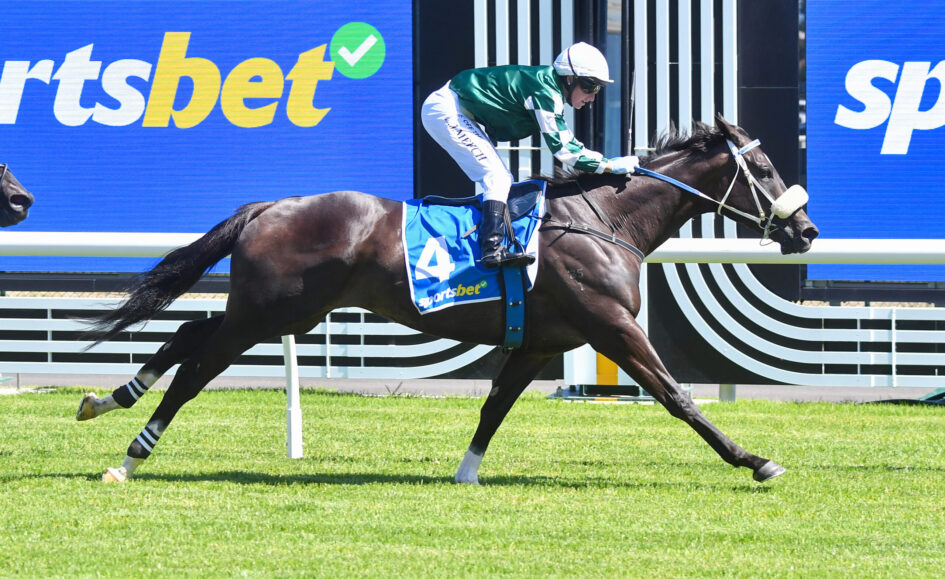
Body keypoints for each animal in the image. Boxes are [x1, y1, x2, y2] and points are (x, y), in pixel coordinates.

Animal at [76, 115, 818, 484]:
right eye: (762, 167)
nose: (806, 230)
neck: (603, 221)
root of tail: (268, 206)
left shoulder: (541, 342)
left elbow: (494, 408)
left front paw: (465, 474)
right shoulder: (610, 327)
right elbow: (676, 396)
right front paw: (755, 461)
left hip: (279, 309)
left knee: (190, 334)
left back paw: (107, 399)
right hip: (270, 312)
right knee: (198, 366)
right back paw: (131, 454)